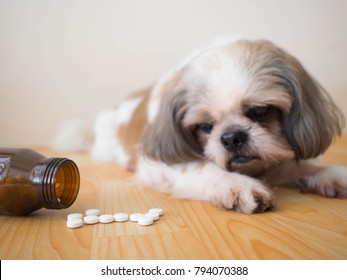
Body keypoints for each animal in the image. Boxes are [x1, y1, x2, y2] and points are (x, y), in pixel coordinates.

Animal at [83, 38, 346, 214]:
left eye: (260, 111)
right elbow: (202, 167)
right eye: (205, 126)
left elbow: (300, 166)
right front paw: (235, 184)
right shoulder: (160, 165)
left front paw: (328, 175)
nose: (232, 137)